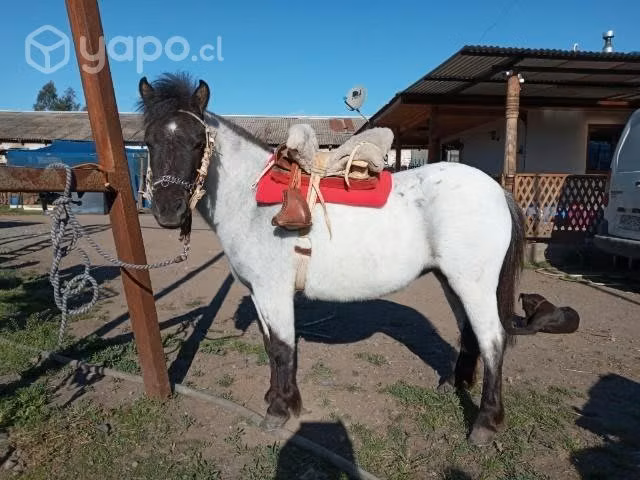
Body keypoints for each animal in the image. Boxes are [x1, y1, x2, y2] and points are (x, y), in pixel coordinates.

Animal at [138, 73, 526, 446]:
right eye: (150, 142)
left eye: (197, 142)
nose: (168, 210)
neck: (250, 200)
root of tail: (497, 189)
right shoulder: (258, 293)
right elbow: (270, 346)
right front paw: (277, 399)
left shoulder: (273, 292)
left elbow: (282, 348)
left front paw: (279, 410)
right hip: (452, 281)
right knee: (471, 332)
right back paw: (454, 385)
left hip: (472, 284)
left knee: (493, 339)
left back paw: (485, 424)